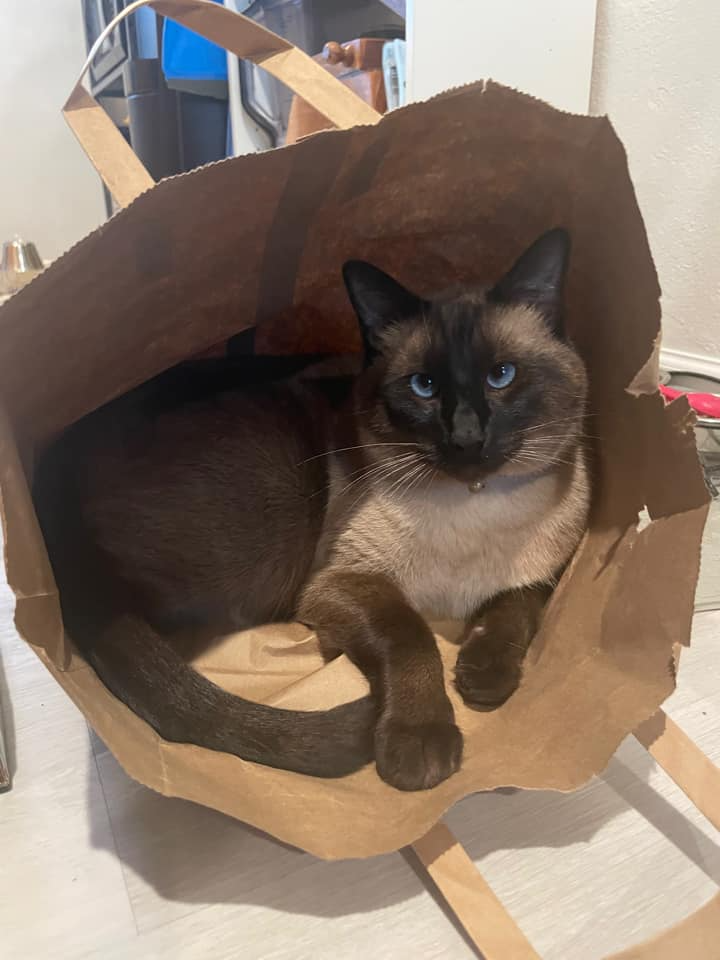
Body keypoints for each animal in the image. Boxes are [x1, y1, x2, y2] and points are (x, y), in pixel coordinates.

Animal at [33, 229, 592, 792]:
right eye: (424, 387)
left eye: (502, 376)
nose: (467, 438)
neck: (475, 506)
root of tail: (52, 466)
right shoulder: (342, 583)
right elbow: (412, 635)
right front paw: (420, 745)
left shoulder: (546, 572)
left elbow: (518, 608)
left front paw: (484, 676)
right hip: (281, 495)